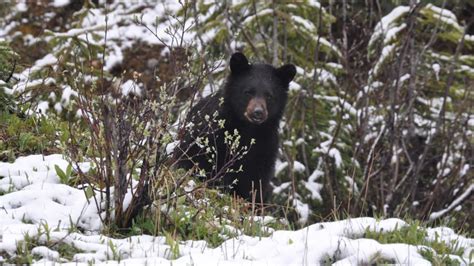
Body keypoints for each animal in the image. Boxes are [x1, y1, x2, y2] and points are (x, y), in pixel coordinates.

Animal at [174, 51, 296, 202]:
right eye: (248, 92)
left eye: (269, 95)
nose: (258, 112)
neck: (248, 129)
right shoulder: (211, 136)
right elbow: (196, 160)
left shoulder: (264, 148)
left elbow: (255, 181)